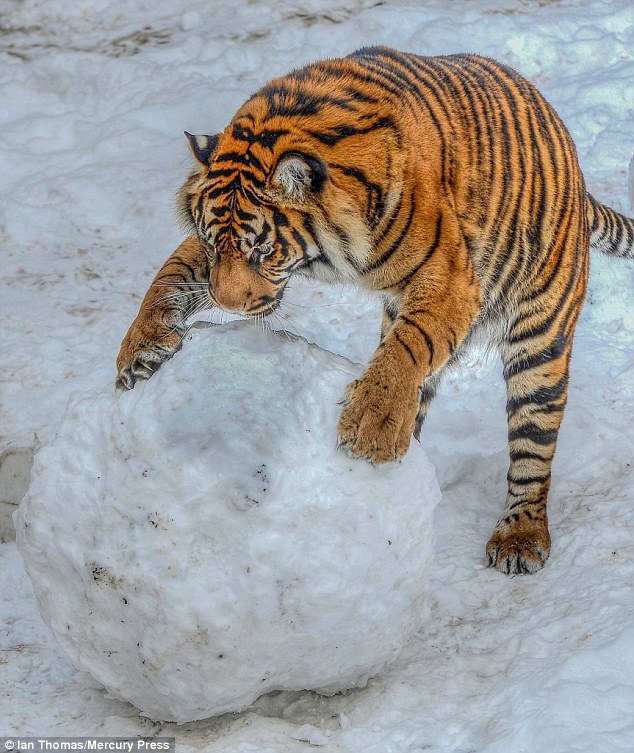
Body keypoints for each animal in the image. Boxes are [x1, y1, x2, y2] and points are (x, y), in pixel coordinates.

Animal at [115, 45, 632, 576]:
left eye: (263, 250)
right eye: (213, 243)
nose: (227, 305)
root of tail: (574, 166)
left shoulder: (451, 279)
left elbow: (411, 344)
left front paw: (372, 424)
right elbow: (171, 273)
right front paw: (140, 349)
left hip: (540, 340)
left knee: (533, 448)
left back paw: (519, 539)